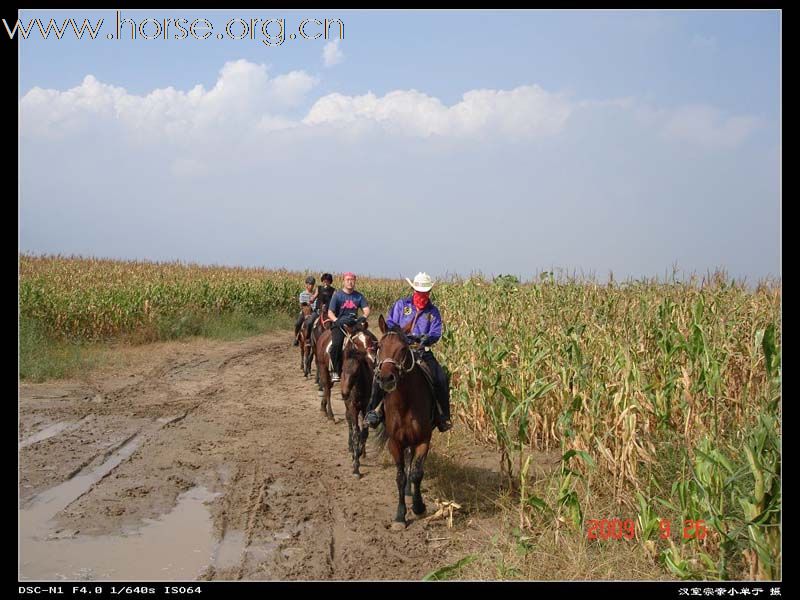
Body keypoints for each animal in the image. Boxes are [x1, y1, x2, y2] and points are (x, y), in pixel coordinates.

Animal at [340, 322, 380, 480]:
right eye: (343, 370)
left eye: (370, 339)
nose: (344, 393)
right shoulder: (352, 407)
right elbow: (356, 431)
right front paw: (355, 466)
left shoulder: (366, 407)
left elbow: (364, 432)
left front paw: (360, 453)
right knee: (350, 423)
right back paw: (351, 447)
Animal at [374, 314, 434, 528]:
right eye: (379, 346)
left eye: (402, 348)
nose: (386, 378)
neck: (405, 402)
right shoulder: (395, 442)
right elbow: (399, 477)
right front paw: (400, 515)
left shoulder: (424, 439)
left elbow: (417, 473)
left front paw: (418, 506)